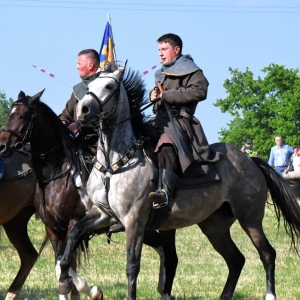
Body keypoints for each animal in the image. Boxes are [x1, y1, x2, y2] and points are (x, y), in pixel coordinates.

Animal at [57, 63, 300, 300]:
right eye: (89, 87)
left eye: (108, 86)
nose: (82, 111)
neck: (114, 163)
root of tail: (250, 161)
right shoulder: (102, 214)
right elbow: (73, 234)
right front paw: (64, 279)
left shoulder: (134, 220)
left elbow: (132, 266)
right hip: (215, 226)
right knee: (236, 259)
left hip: (249, 218)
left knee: (267, 253)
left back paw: (270, 295)